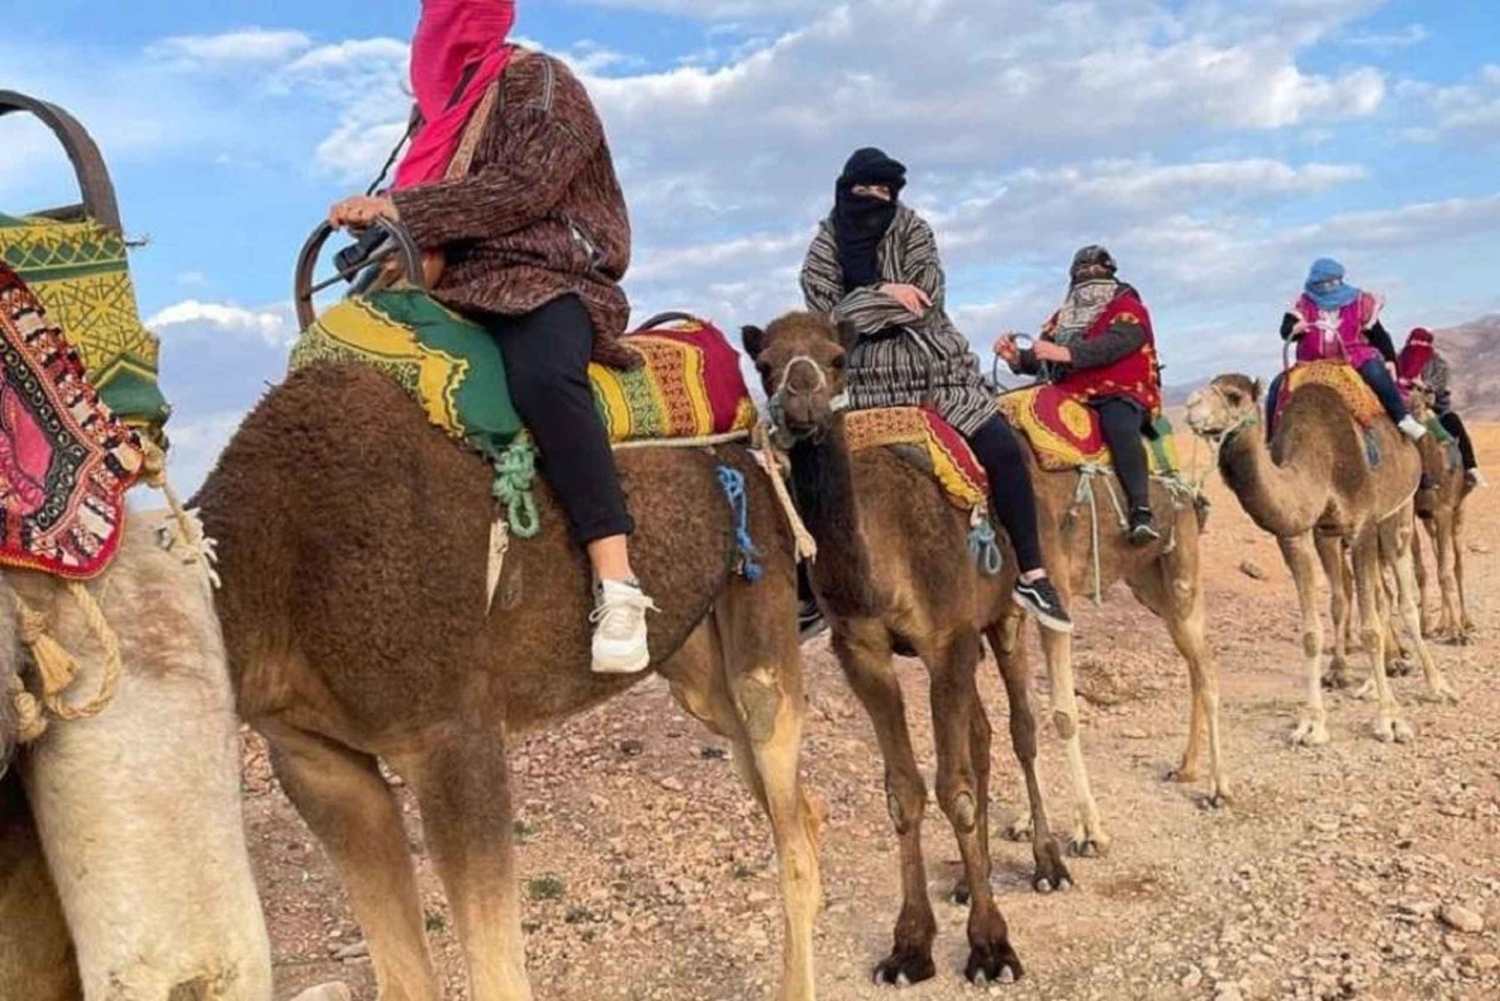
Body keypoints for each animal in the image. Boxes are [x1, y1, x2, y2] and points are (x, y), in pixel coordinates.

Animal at [193, 362, 821, 1001]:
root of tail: (752, 451)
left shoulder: (454, 737)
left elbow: (496, 975)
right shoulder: (314, 761)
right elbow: (404, 977)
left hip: (762, 588)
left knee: (785, 797)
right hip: (693, 658)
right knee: (793, 803)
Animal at [741, 312, 1227, 987]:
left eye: (837, 357)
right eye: (764, 366)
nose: (801, 404)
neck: (881, 549)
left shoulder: (947, 640)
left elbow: (959, 789)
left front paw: (991, 946)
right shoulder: (864, 654)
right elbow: (905, 793)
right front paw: (909, 946)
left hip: (1014, 615)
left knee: (1024, 727)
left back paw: (1050, 861)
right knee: (985, 734)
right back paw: (979, 879)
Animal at [1184, 375, 1458, 746]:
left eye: (1233, 395)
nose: (1190, 407)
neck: (1321, 460)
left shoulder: (1362, 525)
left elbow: (1370, 629)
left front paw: (1391, 719)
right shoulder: (1305, 534)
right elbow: (1314, 630)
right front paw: (1312, 722)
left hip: (1398, 512)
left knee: (1404, 599)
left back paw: (1436, 684)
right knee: (1379, 597)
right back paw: (1373, 683)